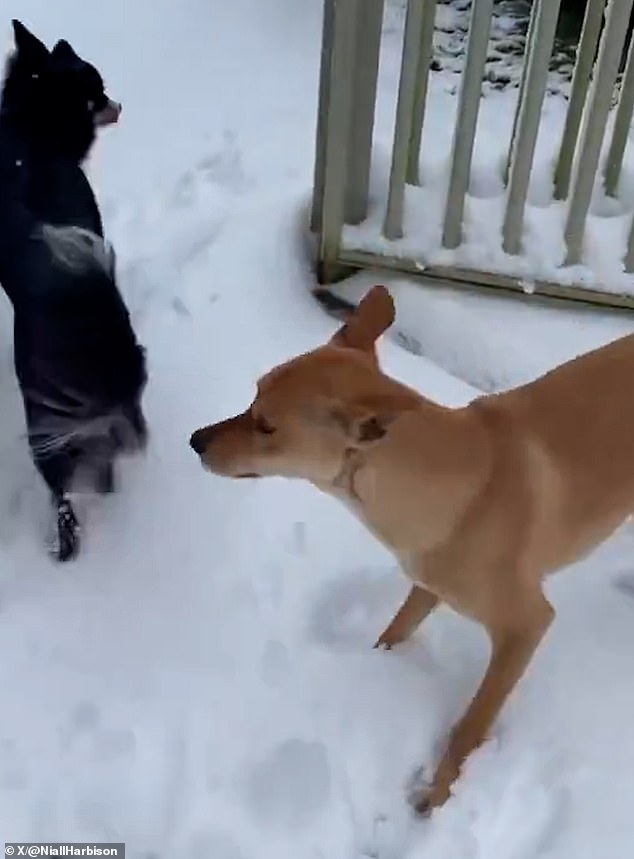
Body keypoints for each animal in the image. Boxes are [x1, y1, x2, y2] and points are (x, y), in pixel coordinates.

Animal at [190, 288, 632, 812]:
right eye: (253, 396)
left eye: (265, 426)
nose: (194, 441)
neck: (465, 485)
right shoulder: (426, 582)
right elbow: (394, 631)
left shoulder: (525, 625)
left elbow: (470, 726)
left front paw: (437, 797)